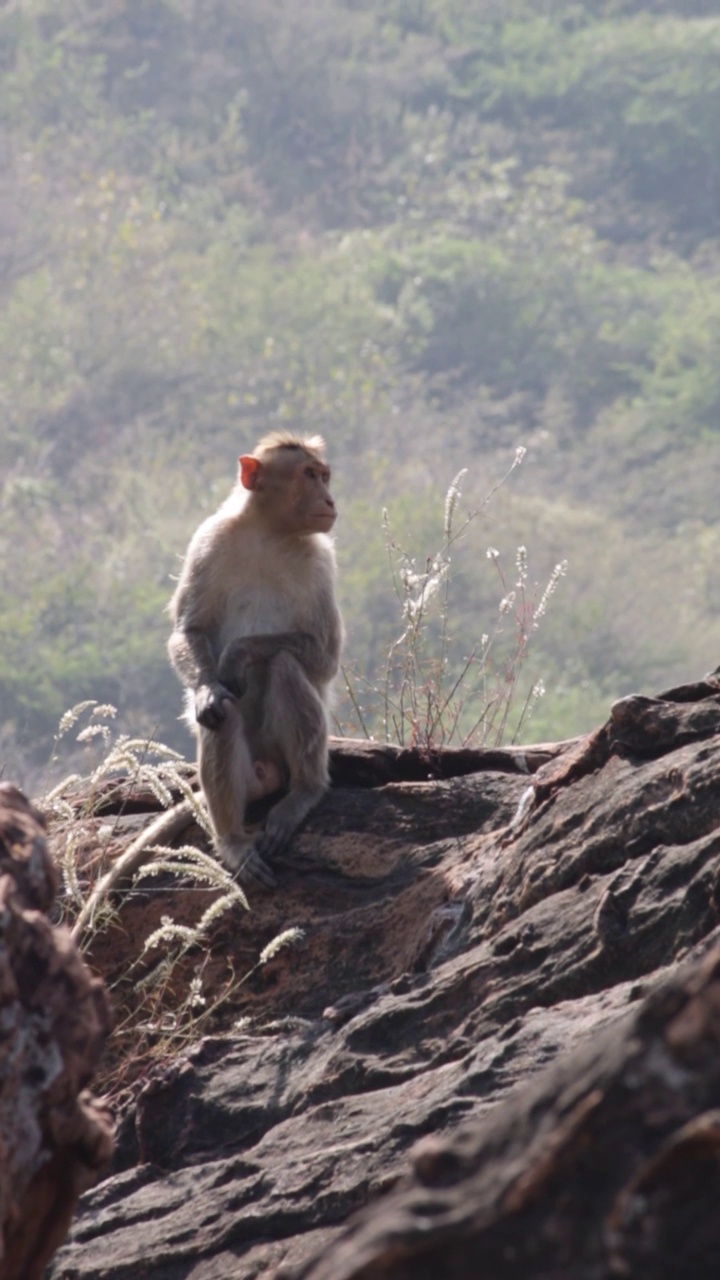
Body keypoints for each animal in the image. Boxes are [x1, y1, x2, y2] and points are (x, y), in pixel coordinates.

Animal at [166, 430, 340, 890]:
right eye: (309, 475)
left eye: (324, 475)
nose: (330, 500)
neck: (269, 534)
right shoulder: (206, 541)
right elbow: (188, 632)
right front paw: (210, 687)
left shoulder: (321, 562)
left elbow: (325, 656)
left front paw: (237, 654)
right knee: (222, 716)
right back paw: (233, 841)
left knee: (283, 664)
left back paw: (304, 791)